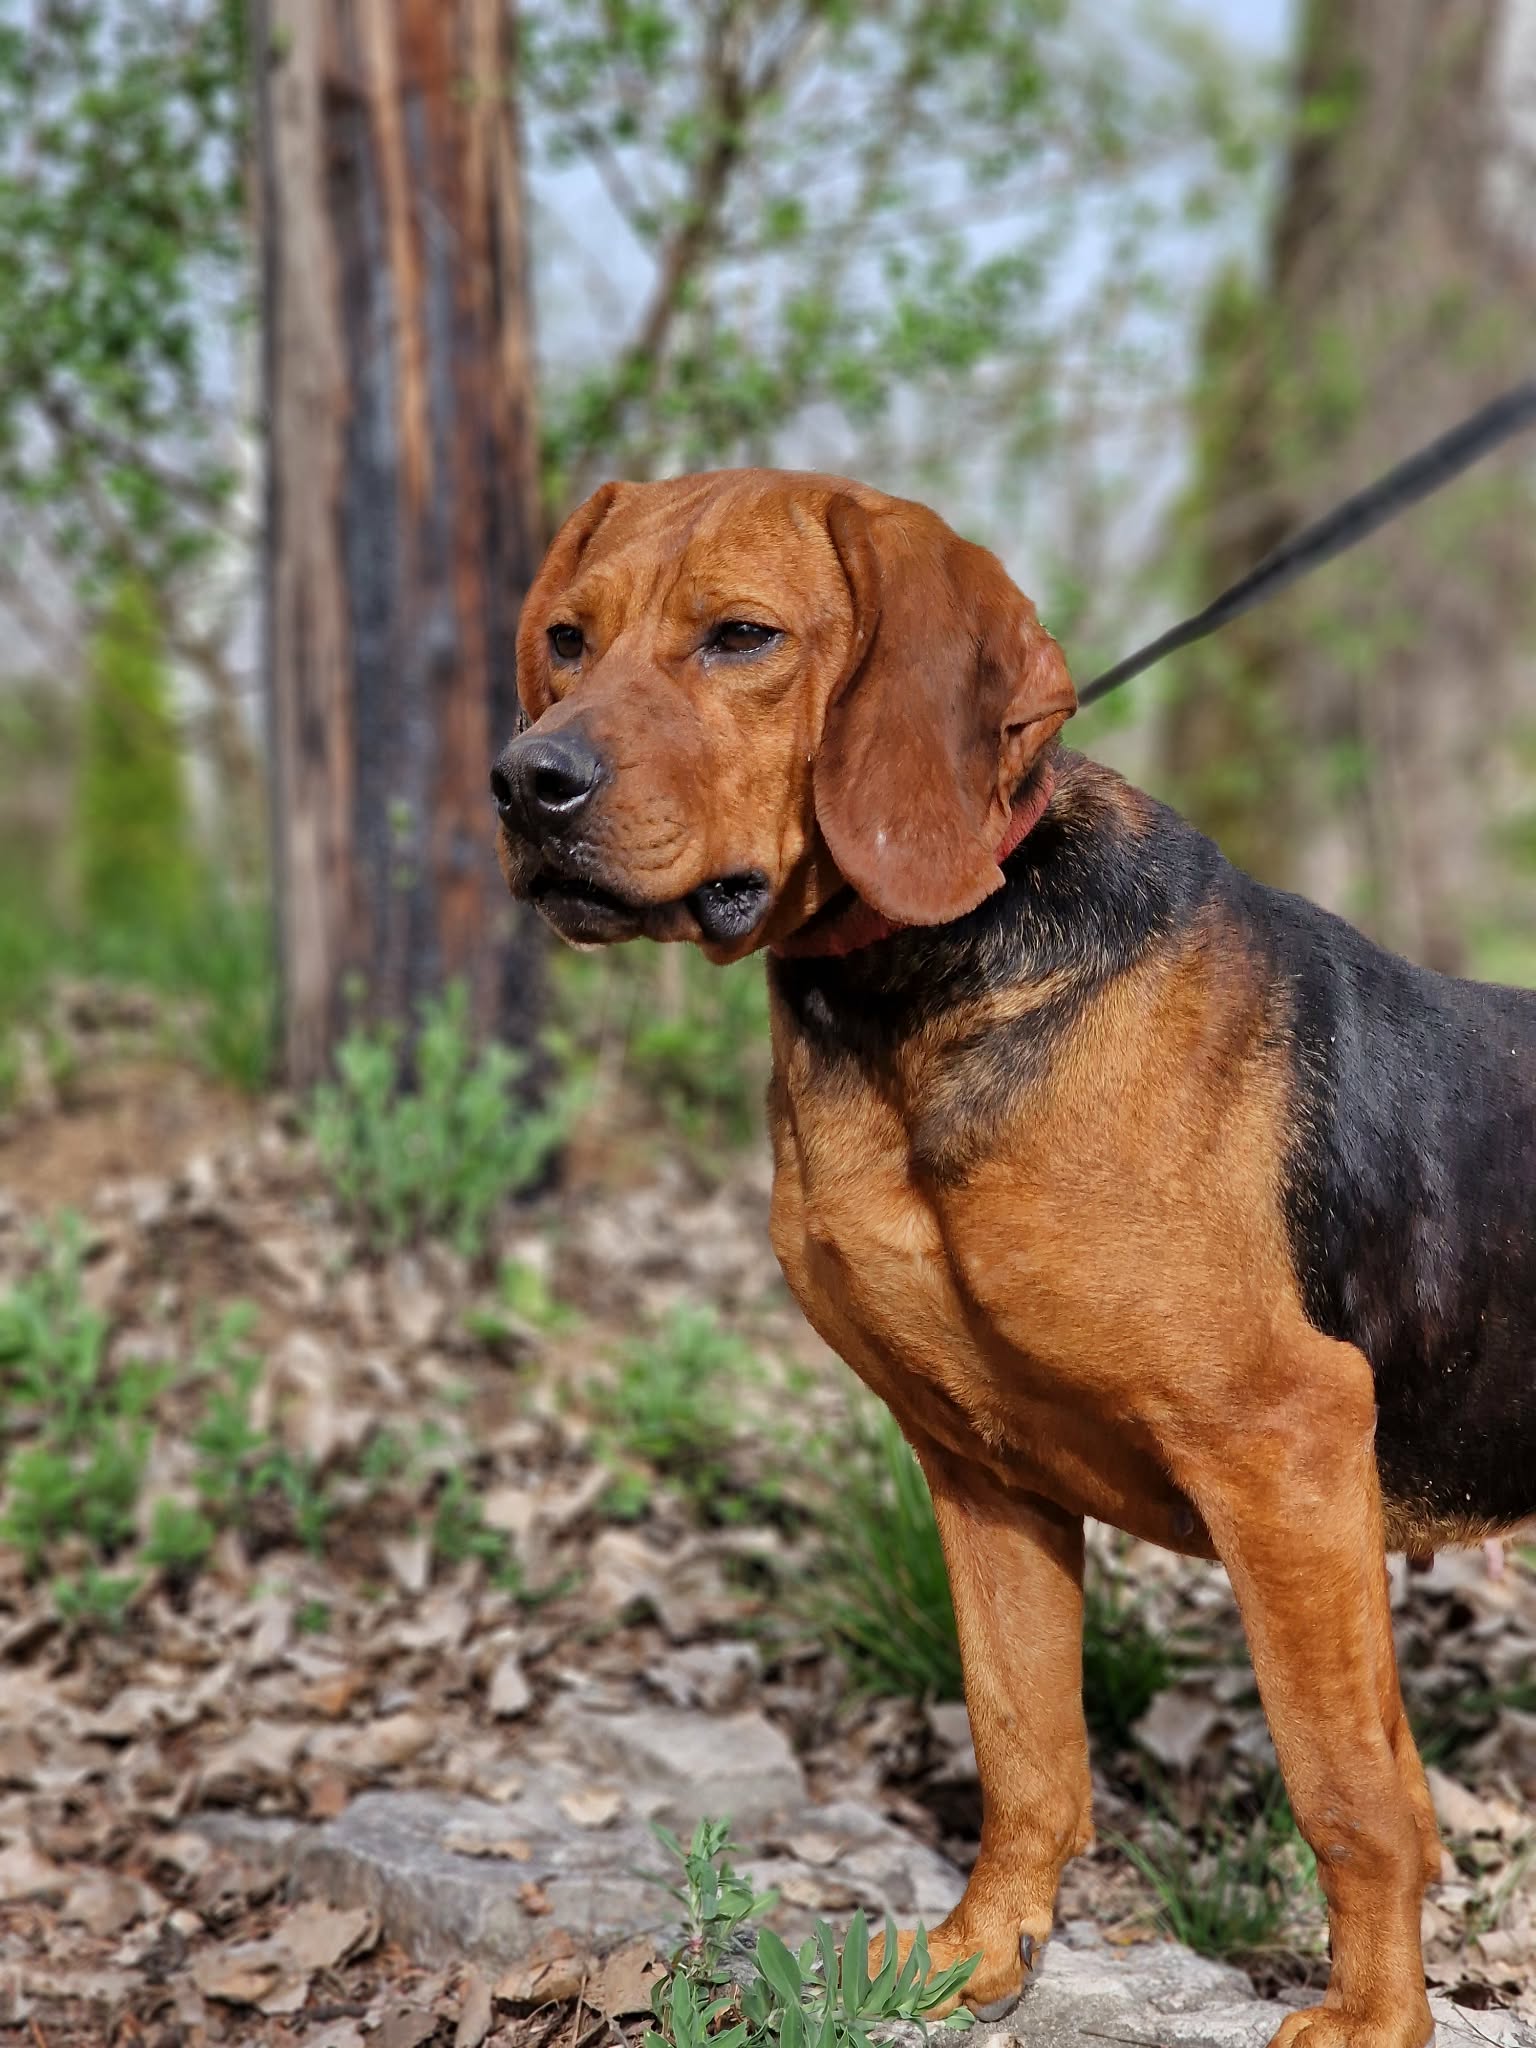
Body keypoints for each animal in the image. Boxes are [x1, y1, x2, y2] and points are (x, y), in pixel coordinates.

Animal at [491, 468, 1536, 2048]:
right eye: (565, 637)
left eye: (741, 637)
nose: (523, 782)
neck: (916, 996)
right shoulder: (979, 1465)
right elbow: (1024, 1744)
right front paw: (980, 1955)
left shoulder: (1284, 1445)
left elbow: (1350, 1789)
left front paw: (1369, 2020)